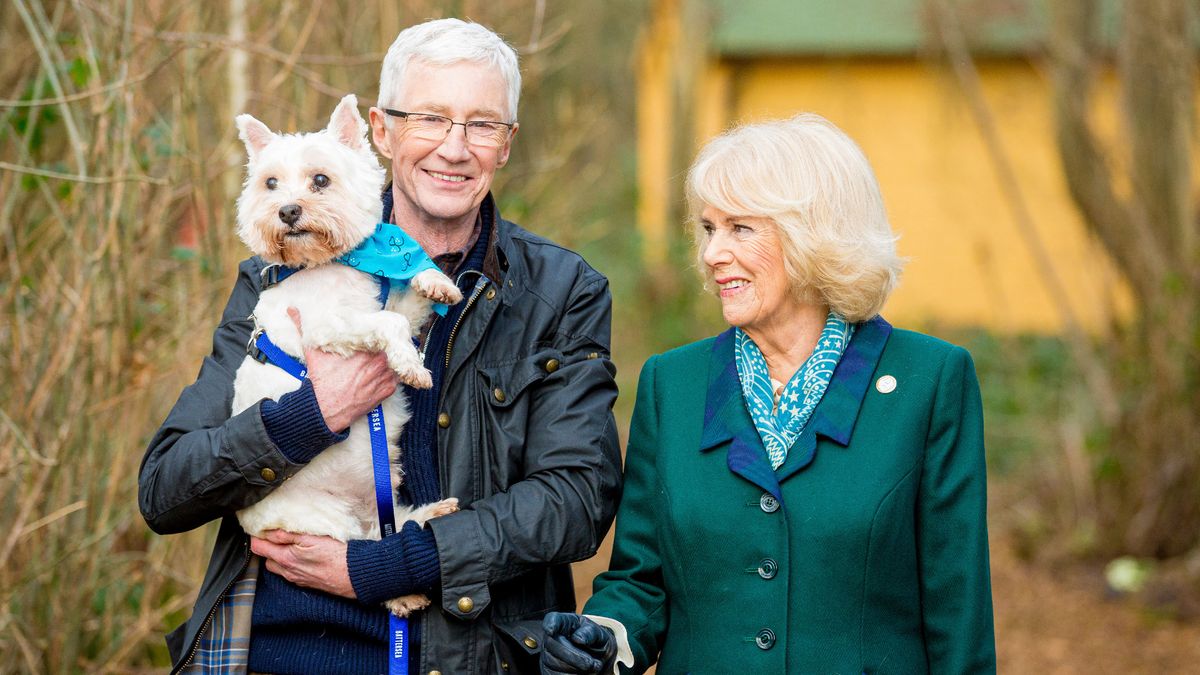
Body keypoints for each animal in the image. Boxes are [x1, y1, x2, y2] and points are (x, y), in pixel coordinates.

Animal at [229, 93, 458, 614]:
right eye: (270, 183)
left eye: (320, 179)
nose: (287, 211)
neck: (329, 261)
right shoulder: (329, 327)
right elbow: (391, 324)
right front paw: (411, 366)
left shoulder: (381, 299)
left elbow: (409, 301)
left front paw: (436, 280)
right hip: (323, 520)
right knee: (364, 551)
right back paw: (406, 594)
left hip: (382, 500)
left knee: (395, 529)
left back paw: (436, 510)